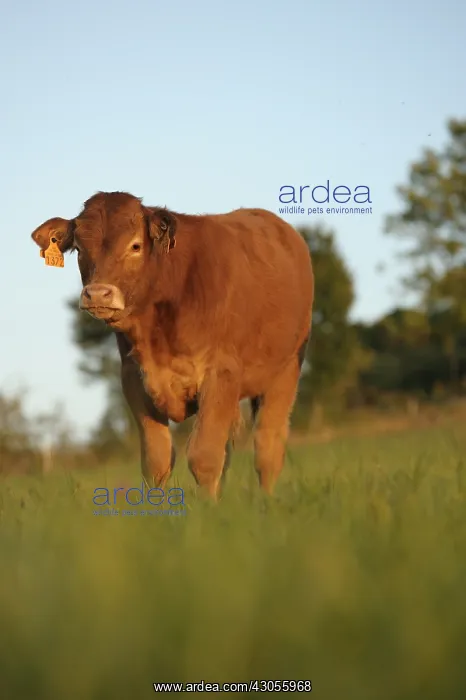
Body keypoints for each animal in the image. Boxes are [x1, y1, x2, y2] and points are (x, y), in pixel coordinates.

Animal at [31, 192, 314, 499]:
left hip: (285, 372)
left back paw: (266, 503)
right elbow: (158, 461)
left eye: (135, 245)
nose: (97, 294)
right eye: (80, 249)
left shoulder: (221, 374)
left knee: (268, 448)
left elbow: (205, 457)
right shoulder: (133, 379)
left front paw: (208, 510)